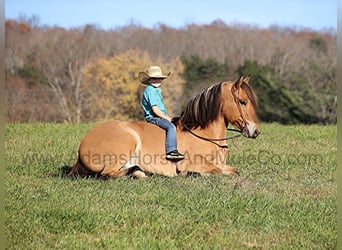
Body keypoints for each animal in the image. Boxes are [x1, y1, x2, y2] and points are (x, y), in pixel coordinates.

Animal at [69, 75, 260, 179]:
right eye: (243, 102)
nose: (256, 131)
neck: (206, 135)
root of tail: (81, 147)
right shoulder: (192, 162)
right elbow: (215, 171)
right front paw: (190, 174)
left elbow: (233, 170)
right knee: (108, 173)